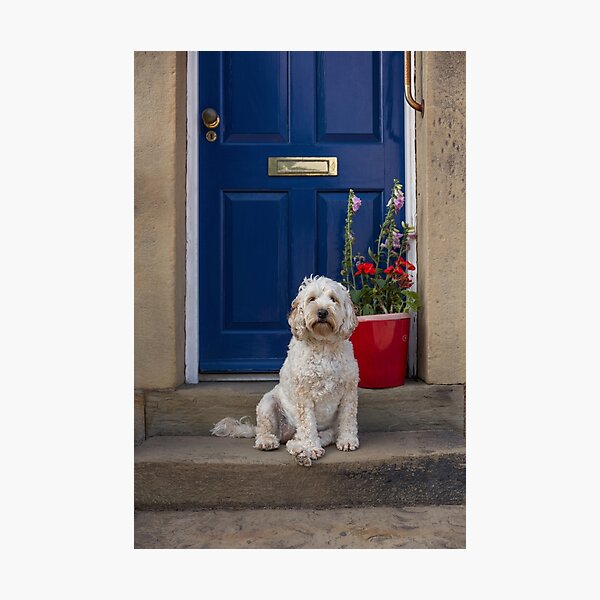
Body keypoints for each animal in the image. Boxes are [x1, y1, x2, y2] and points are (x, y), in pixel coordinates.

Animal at [211, 276, 358, 468]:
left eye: (333, 299)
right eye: (311, 299)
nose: (322, 312)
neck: (323, 345)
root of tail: (286, 433)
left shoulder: (349, 391)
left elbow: (348, 417)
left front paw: (347, 440)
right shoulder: (303, 397)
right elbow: (307, 423)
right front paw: (311, 446)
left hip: (327, 431)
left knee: (299, 440)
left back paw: (301, 451)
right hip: (267, 404)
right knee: (267, 431)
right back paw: (275, 443)